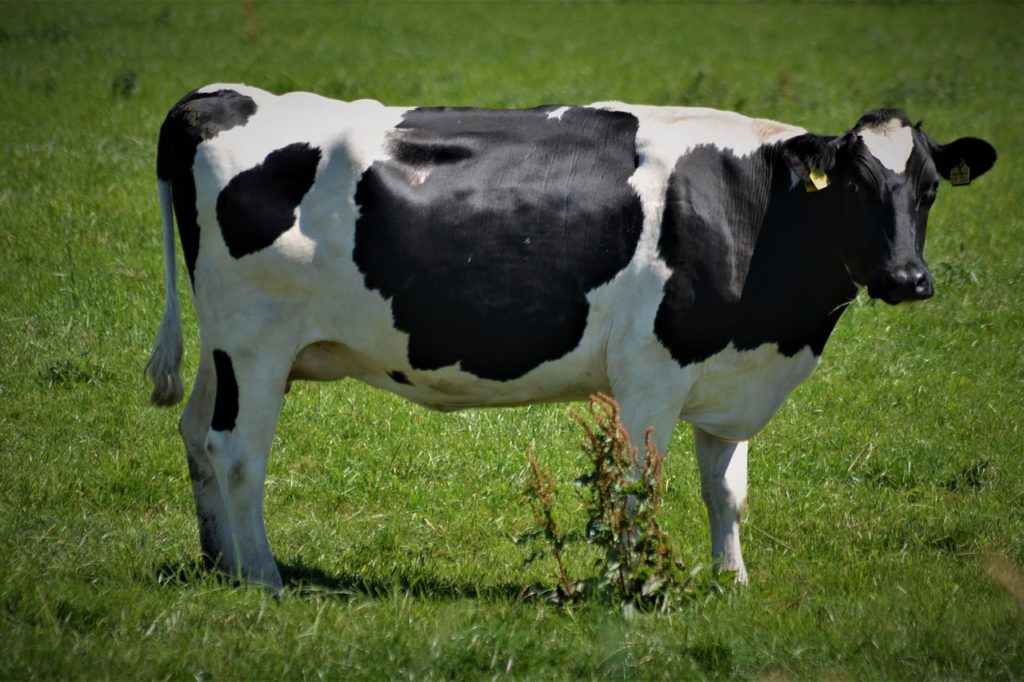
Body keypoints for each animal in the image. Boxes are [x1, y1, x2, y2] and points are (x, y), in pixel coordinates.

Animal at [148, 82, 995, 585]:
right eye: (853, 186)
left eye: (927, 190)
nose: (908, 279)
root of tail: (216, 97)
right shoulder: (650, 370)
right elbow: (640, 485)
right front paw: (641, 582)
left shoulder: (728, 373)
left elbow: (727, 493)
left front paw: (732, 584)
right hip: (253, 343)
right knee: (237, 450)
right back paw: (261, 576)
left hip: (226, 349)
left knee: (195, 433)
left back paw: (218, 562)